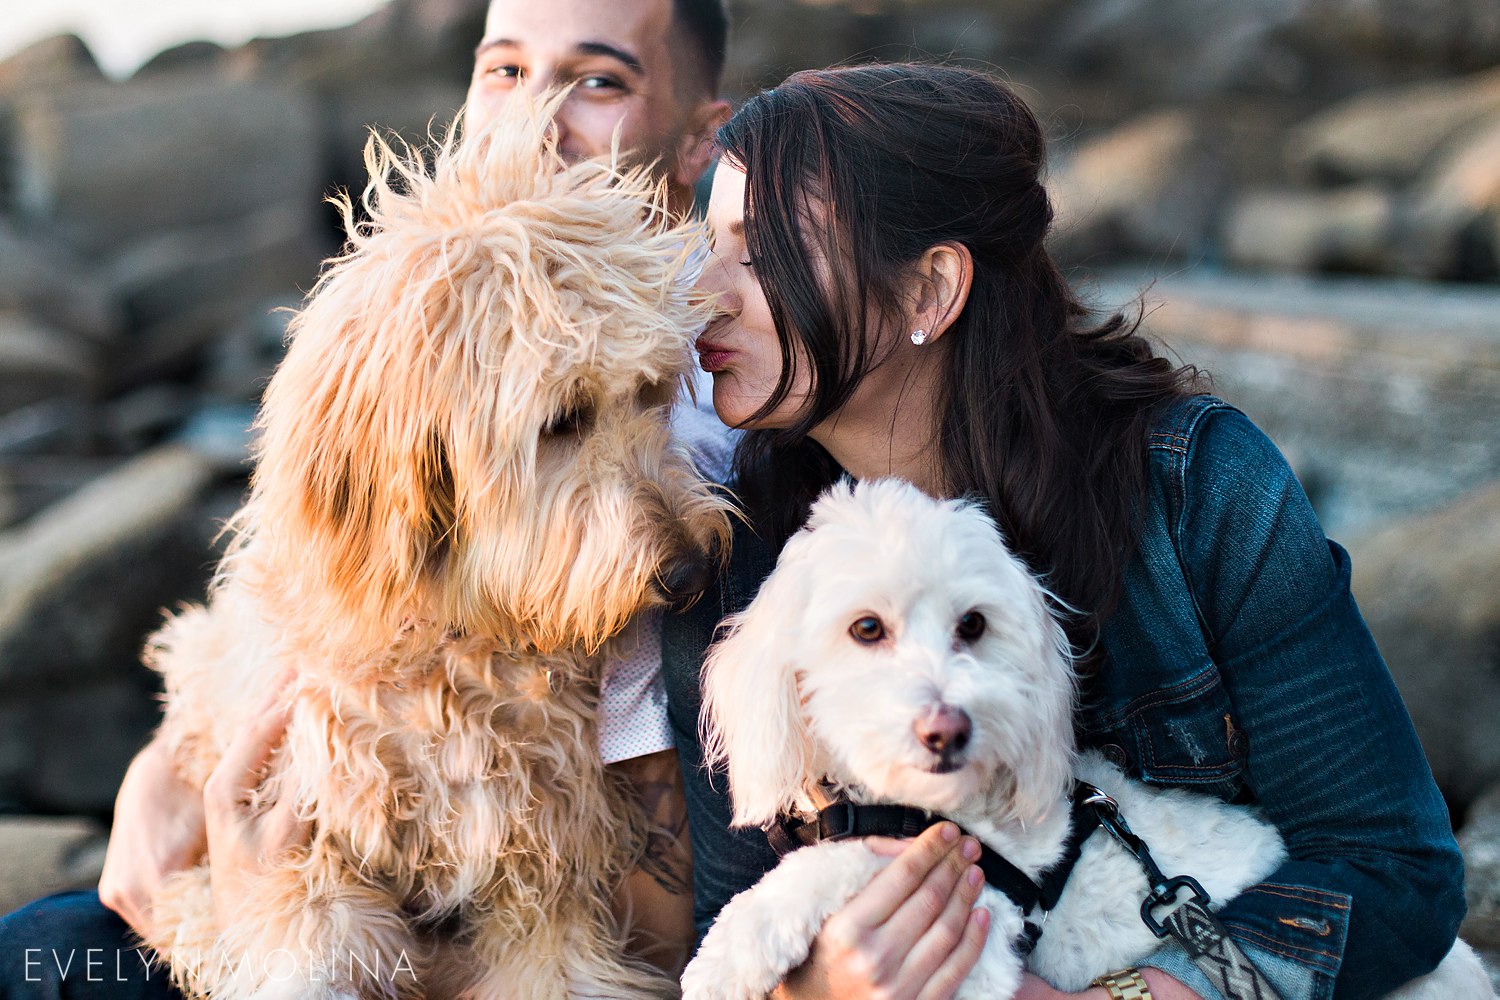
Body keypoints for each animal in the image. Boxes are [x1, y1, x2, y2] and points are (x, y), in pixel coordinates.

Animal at [135, 89, 732, 995]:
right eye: (563, 420)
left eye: (653, 392)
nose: (692, 569)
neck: (457, 642)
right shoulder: (309, 869)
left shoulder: (549, 883)